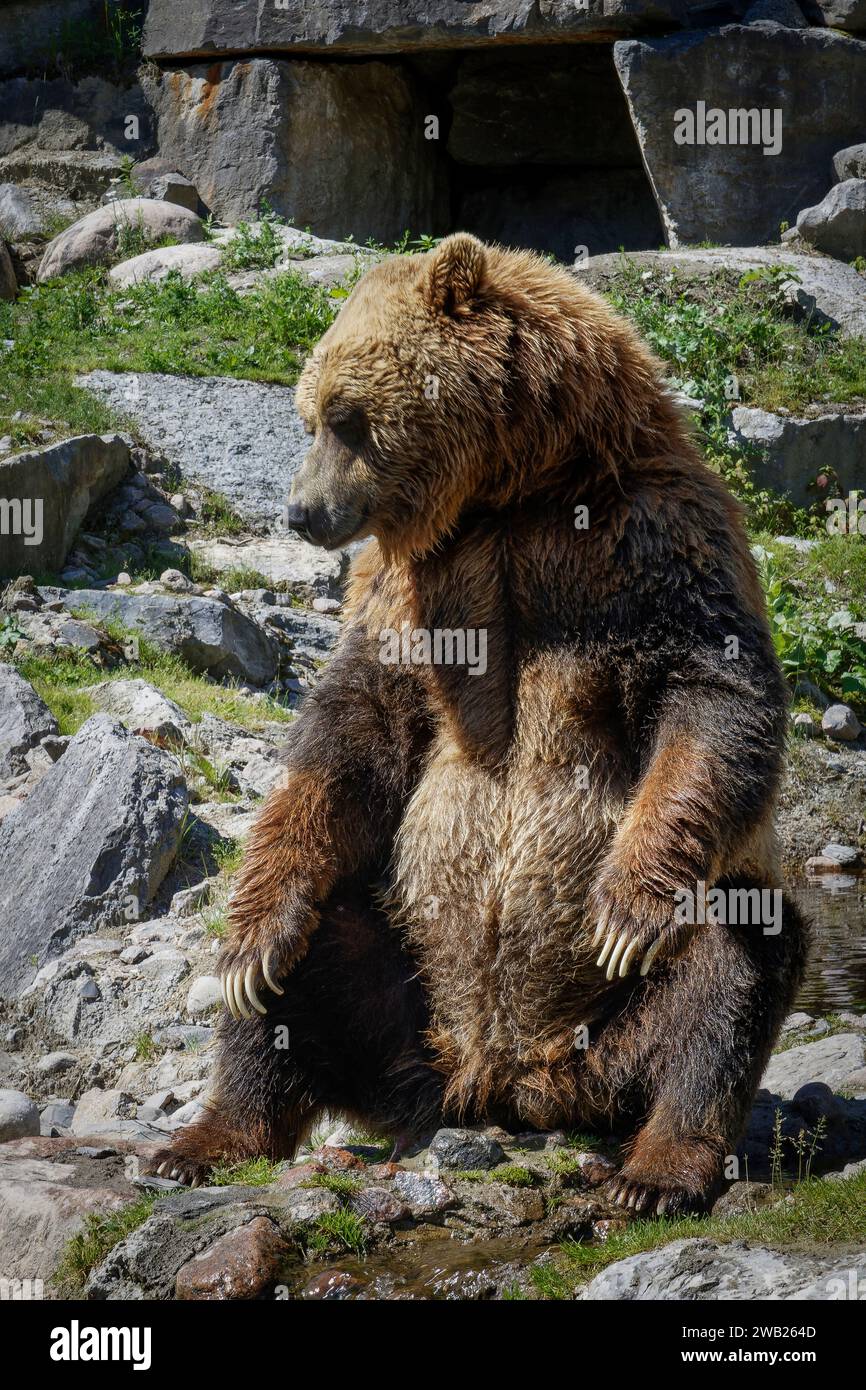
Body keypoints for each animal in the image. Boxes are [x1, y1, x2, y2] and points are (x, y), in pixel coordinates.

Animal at [148, 233, 806, 1212]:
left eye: (345, 416)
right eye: (308, 415)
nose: (301, 513)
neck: (511, 496)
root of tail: (501, 1080)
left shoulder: (648, 543)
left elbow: (712, 699)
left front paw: (624, 908)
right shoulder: (410, 589)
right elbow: (351, 734)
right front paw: (249, 944)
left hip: (612, 1035)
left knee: (732, 964)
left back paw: (658, 1168)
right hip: (403, 989)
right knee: (306, 959)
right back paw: (208, 1126)